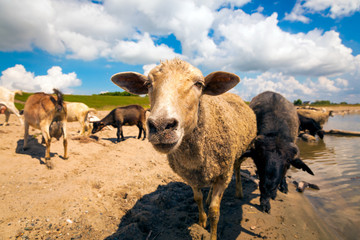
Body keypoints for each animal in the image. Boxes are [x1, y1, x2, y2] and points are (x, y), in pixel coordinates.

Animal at [109, 58, 256, 240]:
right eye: (148, 84)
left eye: (199, 84)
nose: (161, 126)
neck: (195, 159)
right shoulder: (190, 176)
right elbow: (197, 198)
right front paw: (201, 222)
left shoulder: (223, 175)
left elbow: (215, 212)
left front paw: (211, 232)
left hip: (239, 153)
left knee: (237, 168)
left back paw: (239, 192)